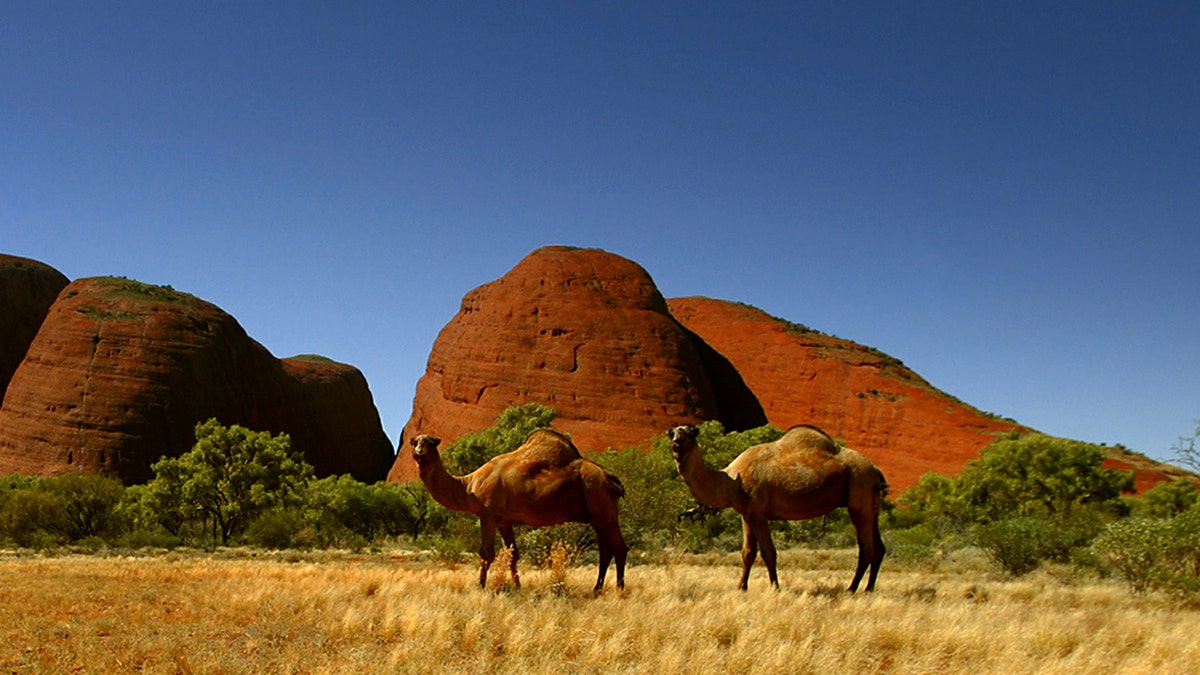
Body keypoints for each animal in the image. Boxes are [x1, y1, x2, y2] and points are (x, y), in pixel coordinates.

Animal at [408, 425, 628, 588]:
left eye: (430, 443)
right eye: (416, 442)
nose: (418, 453)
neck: (469, 485)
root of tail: (609, 477)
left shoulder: (487, 514)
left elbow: (486, 552)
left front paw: (481, 587)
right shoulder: (503, 521)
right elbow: (513, 554)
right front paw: (517, 587)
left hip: (600, 501)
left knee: (619, 547)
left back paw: (619, 590)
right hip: (598, 512)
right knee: (605, 549)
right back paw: (597, 589)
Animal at [672, 422, 888, 590]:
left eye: (690, 433)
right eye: (672, 432)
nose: (676, 443)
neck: (731, 480)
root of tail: (875, 469)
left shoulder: (758, 514)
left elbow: (769, 552)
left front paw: (775, 587)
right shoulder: (746, 514)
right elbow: (747, 552)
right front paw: (741, 587)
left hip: (859, 488)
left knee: (866, 548)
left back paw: (851, 589)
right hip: (872, 502)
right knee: (879, 547)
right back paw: (869, 589)